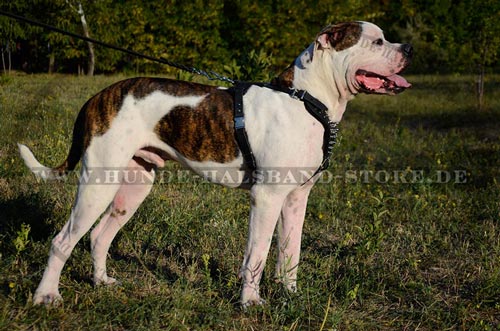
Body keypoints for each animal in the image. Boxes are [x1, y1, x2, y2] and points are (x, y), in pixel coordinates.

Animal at [18, 21, 410, 308]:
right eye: (377, 41)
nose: (408, 48)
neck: (305, 98)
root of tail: (98, 95)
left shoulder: (296, 198)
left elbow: (290, 253)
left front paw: (290, 295)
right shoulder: (267, 198)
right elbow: (257, 255)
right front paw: (250, 303)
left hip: (133, 185)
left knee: (99, 236)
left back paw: (100, 281)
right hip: (97, 185)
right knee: (63, 240)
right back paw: (46, 295)